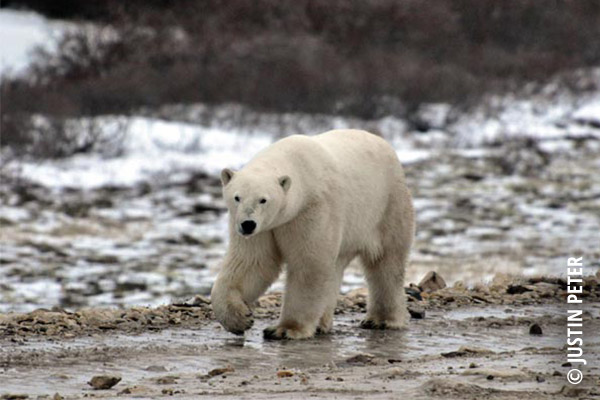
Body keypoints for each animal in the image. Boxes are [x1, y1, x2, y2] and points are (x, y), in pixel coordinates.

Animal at [213, 130, 414, 340]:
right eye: (237, 197)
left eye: (263, 200)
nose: (248, 224)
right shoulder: (265, 227)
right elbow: (253, 262)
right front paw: (239, 318)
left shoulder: (313, 209)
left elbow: (309, 265)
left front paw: (285, 329)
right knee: (336, 267)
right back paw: (322, 323)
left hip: (387, 205)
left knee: (386, 261)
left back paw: (381, 319)